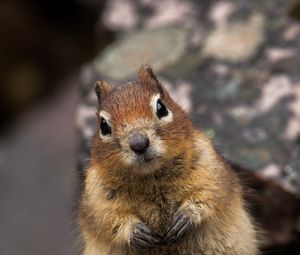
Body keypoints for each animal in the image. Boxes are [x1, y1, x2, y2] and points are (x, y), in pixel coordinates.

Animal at [77, 64, 258, 254]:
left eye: (161, 107)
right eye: (103, 125)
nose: (139, 144)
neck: (151, 177)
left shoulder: (210, 168)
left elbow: (209, 195)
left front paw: (185, 217)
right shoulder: (97, 197)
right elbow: (107, 220)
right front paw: (136, 232)